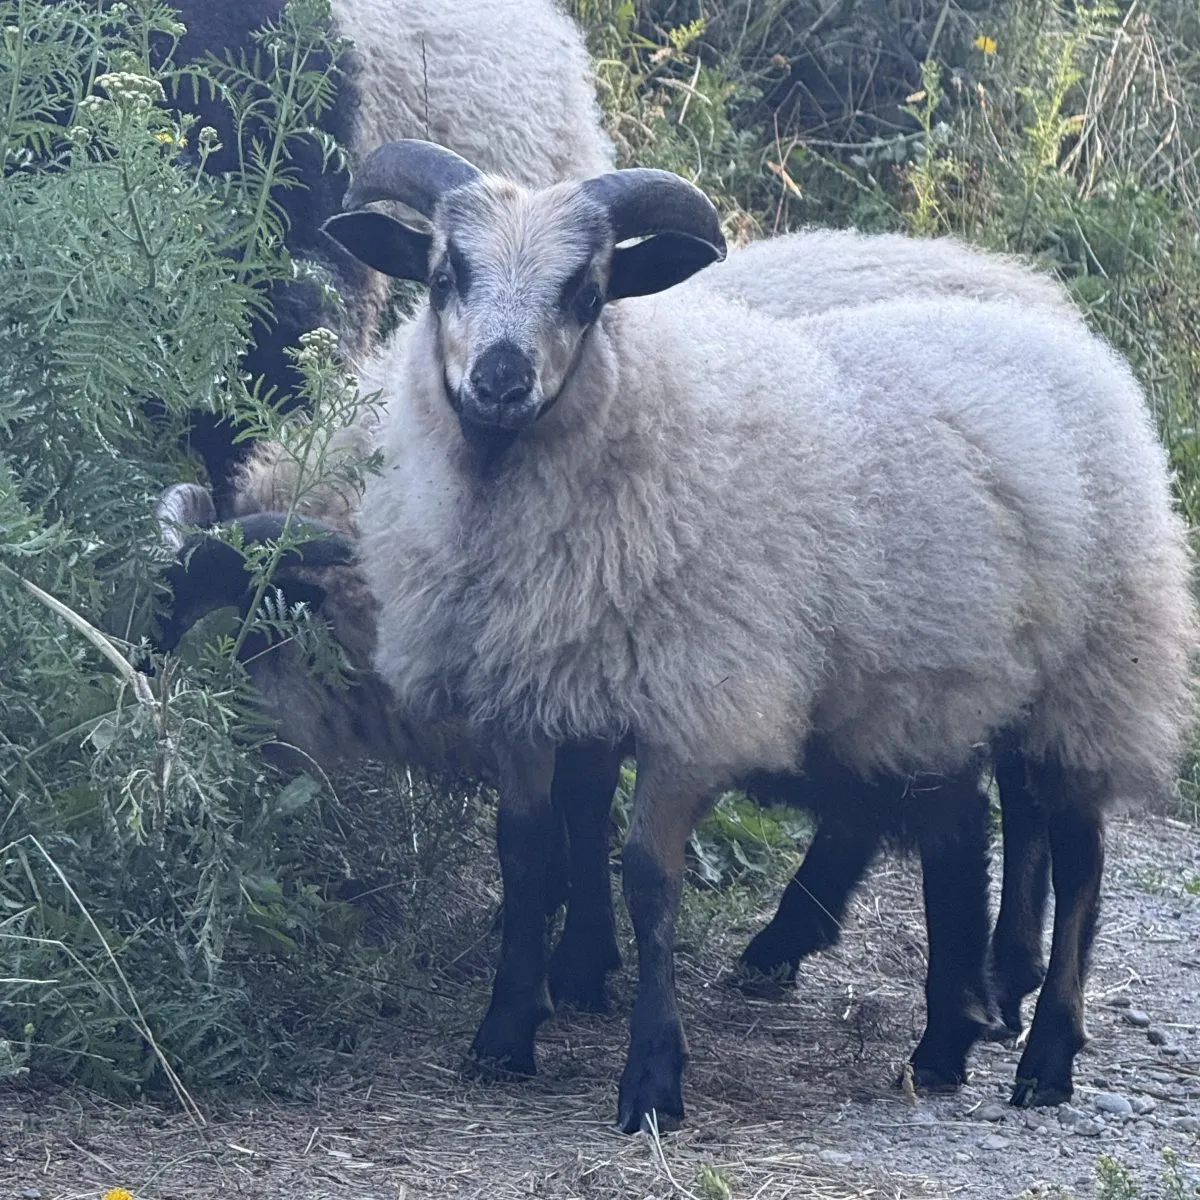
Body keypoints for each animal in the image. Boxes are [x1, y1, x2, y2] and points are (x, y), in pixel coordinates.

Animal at [316, 139, 1196, 1133]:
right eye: (443, 276)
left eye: (588, 290)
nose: (501, 382)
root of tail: (1073, 341)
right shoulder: (533, 690)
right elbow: (527, 850)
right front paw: (505, 1034)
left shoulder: (697, 702)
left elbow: (649, 876)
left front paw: (652, 1080)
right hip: (953, 681)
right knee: (969, 823)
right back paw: (947, 1038)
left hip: (1095, 668)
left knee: (1079, 852)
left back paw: (1043, 1052)